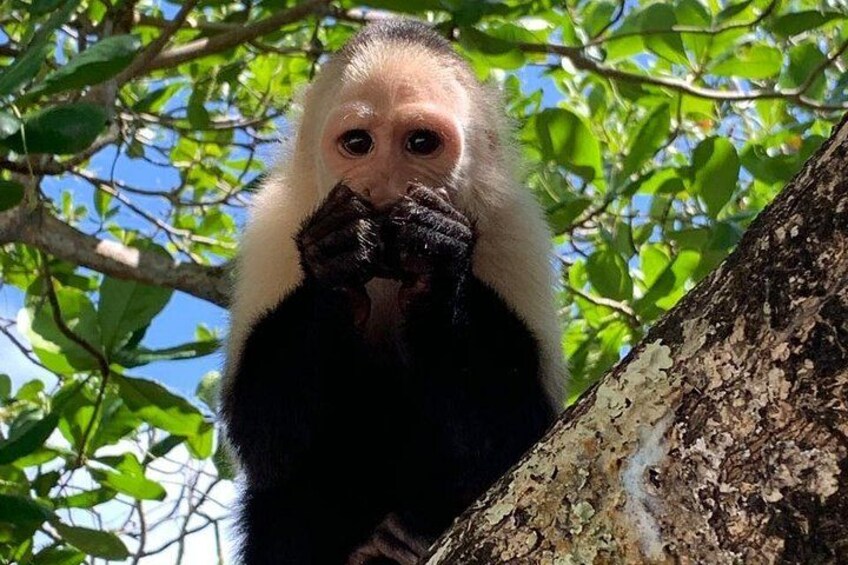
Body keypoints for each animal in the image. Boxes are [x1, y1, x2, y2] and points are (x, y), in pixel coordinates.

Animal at [221, 19, 566, 564]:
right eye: (358, 143)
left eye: (420, 143)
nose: (385, 185)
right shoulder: (272, 228)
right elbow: (264, 438)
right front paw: (336, 261)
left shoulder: (515, 228)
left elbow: (515, 438)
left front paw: (437, 255)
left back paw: (403, 539)